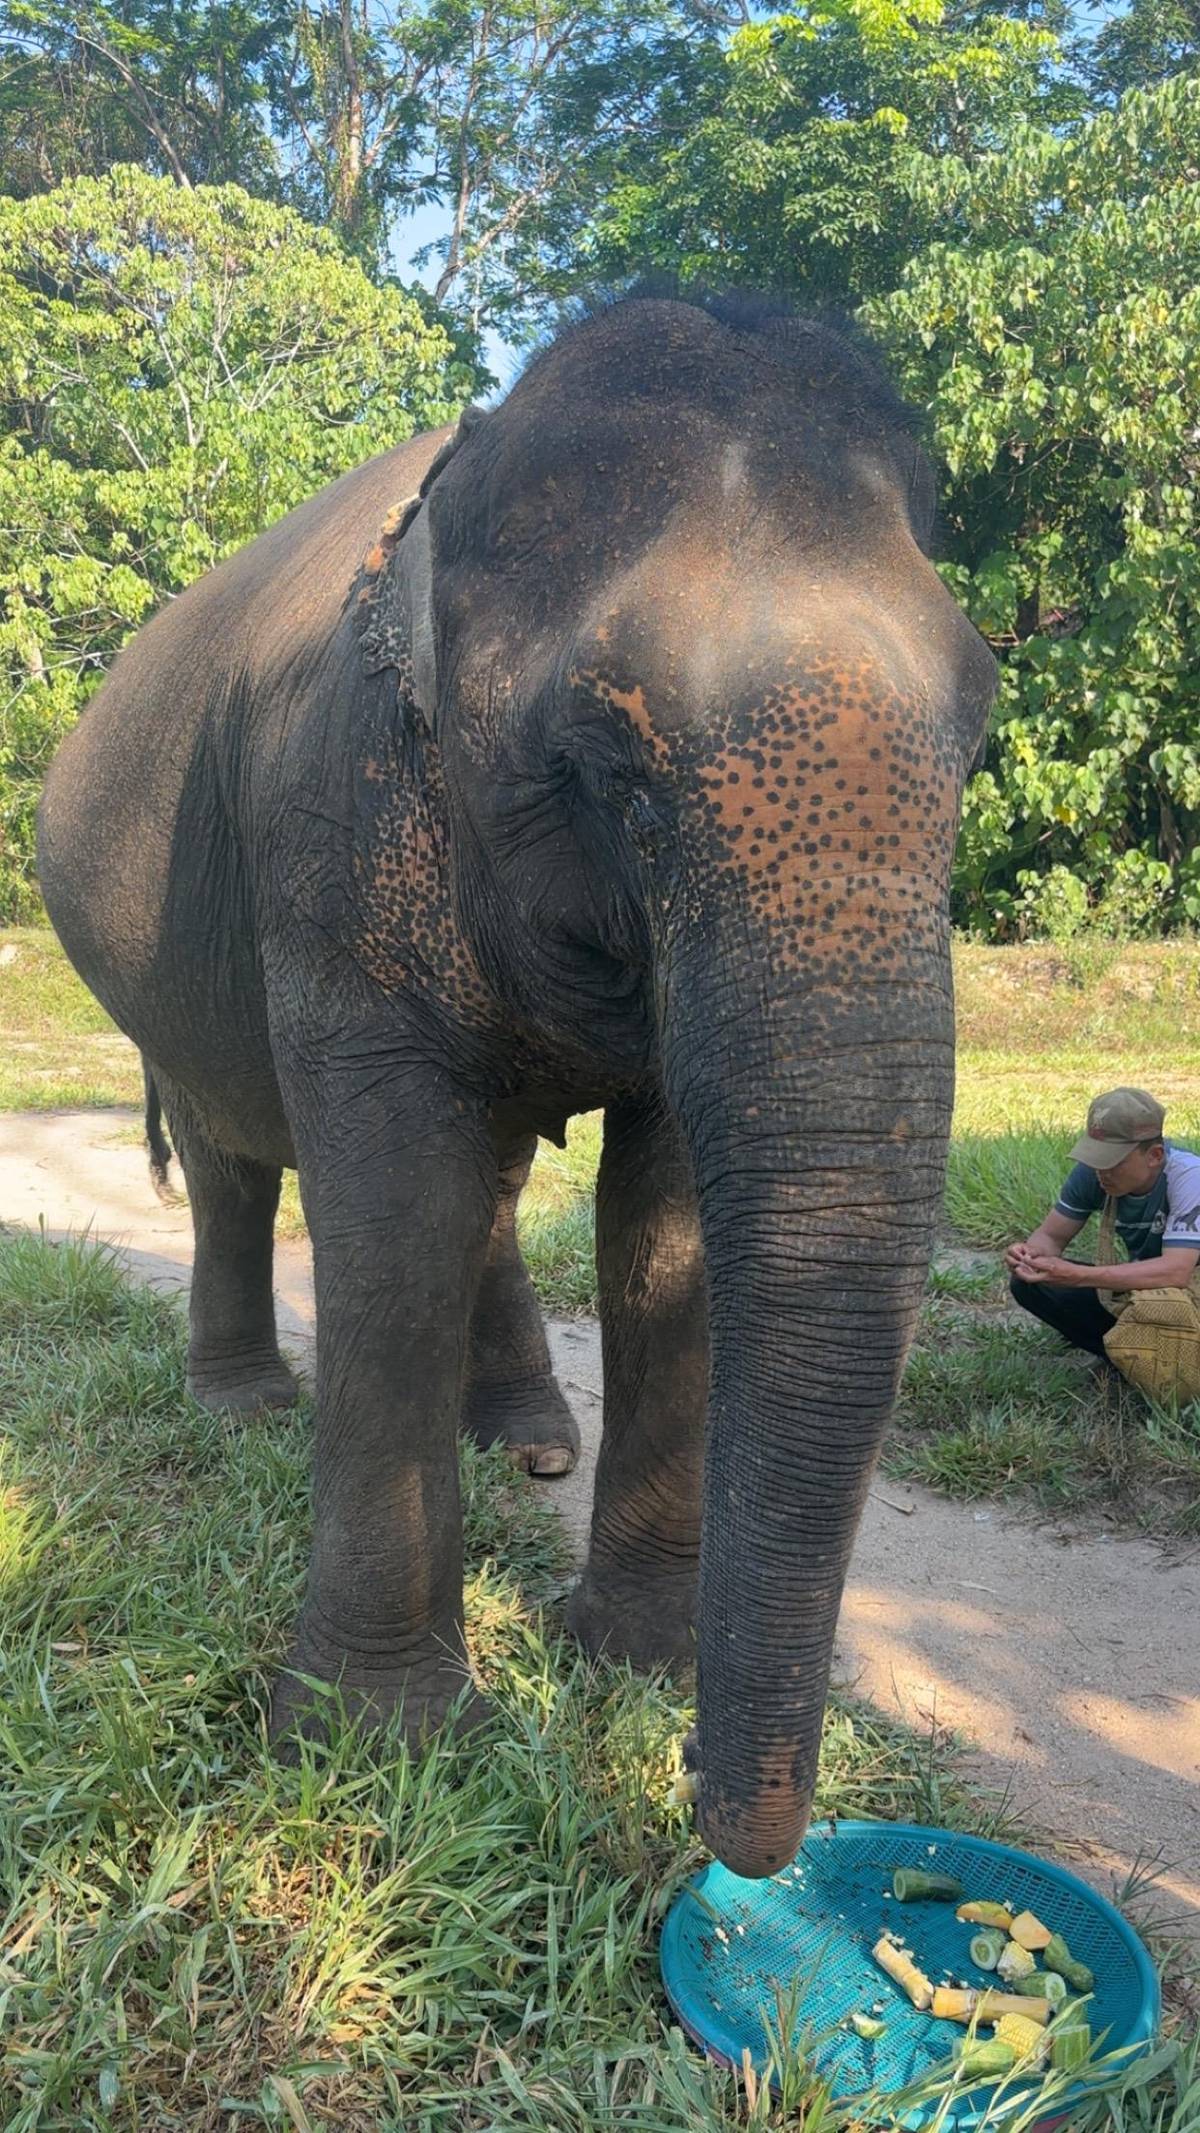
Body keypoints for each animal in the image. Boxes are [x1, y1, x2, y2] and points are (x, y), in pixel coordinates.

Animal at [37, 293, 997, 1880]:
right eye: (612, 769)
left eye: (977, 741)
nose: (722, 1817)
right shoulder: (335, 840)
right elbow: (391, 1220)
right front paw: (378, 1746)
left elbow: (666, 1224)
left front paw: (633, 1663)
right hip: (163, 977)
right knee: (246, 1160)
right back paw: (244, 1411)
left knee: (479, 1181)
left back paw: (531, 1447)